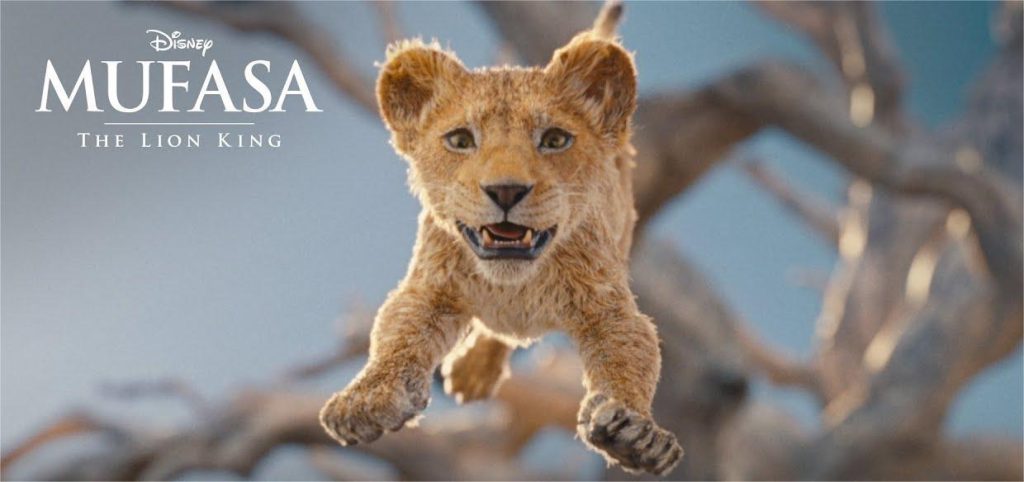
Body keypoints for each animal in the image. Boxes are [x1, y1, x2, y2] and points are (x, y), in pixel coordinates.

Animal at [318, 24, 683, 476]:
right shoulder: (430, 288)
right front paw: (366, 400)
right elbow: (397, 335)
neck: (515, 285)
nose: (506, 190)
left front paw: (634, 433)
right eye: (460, 139)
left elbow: (630, 356)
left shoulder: (607, 306)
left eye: (555, 139)